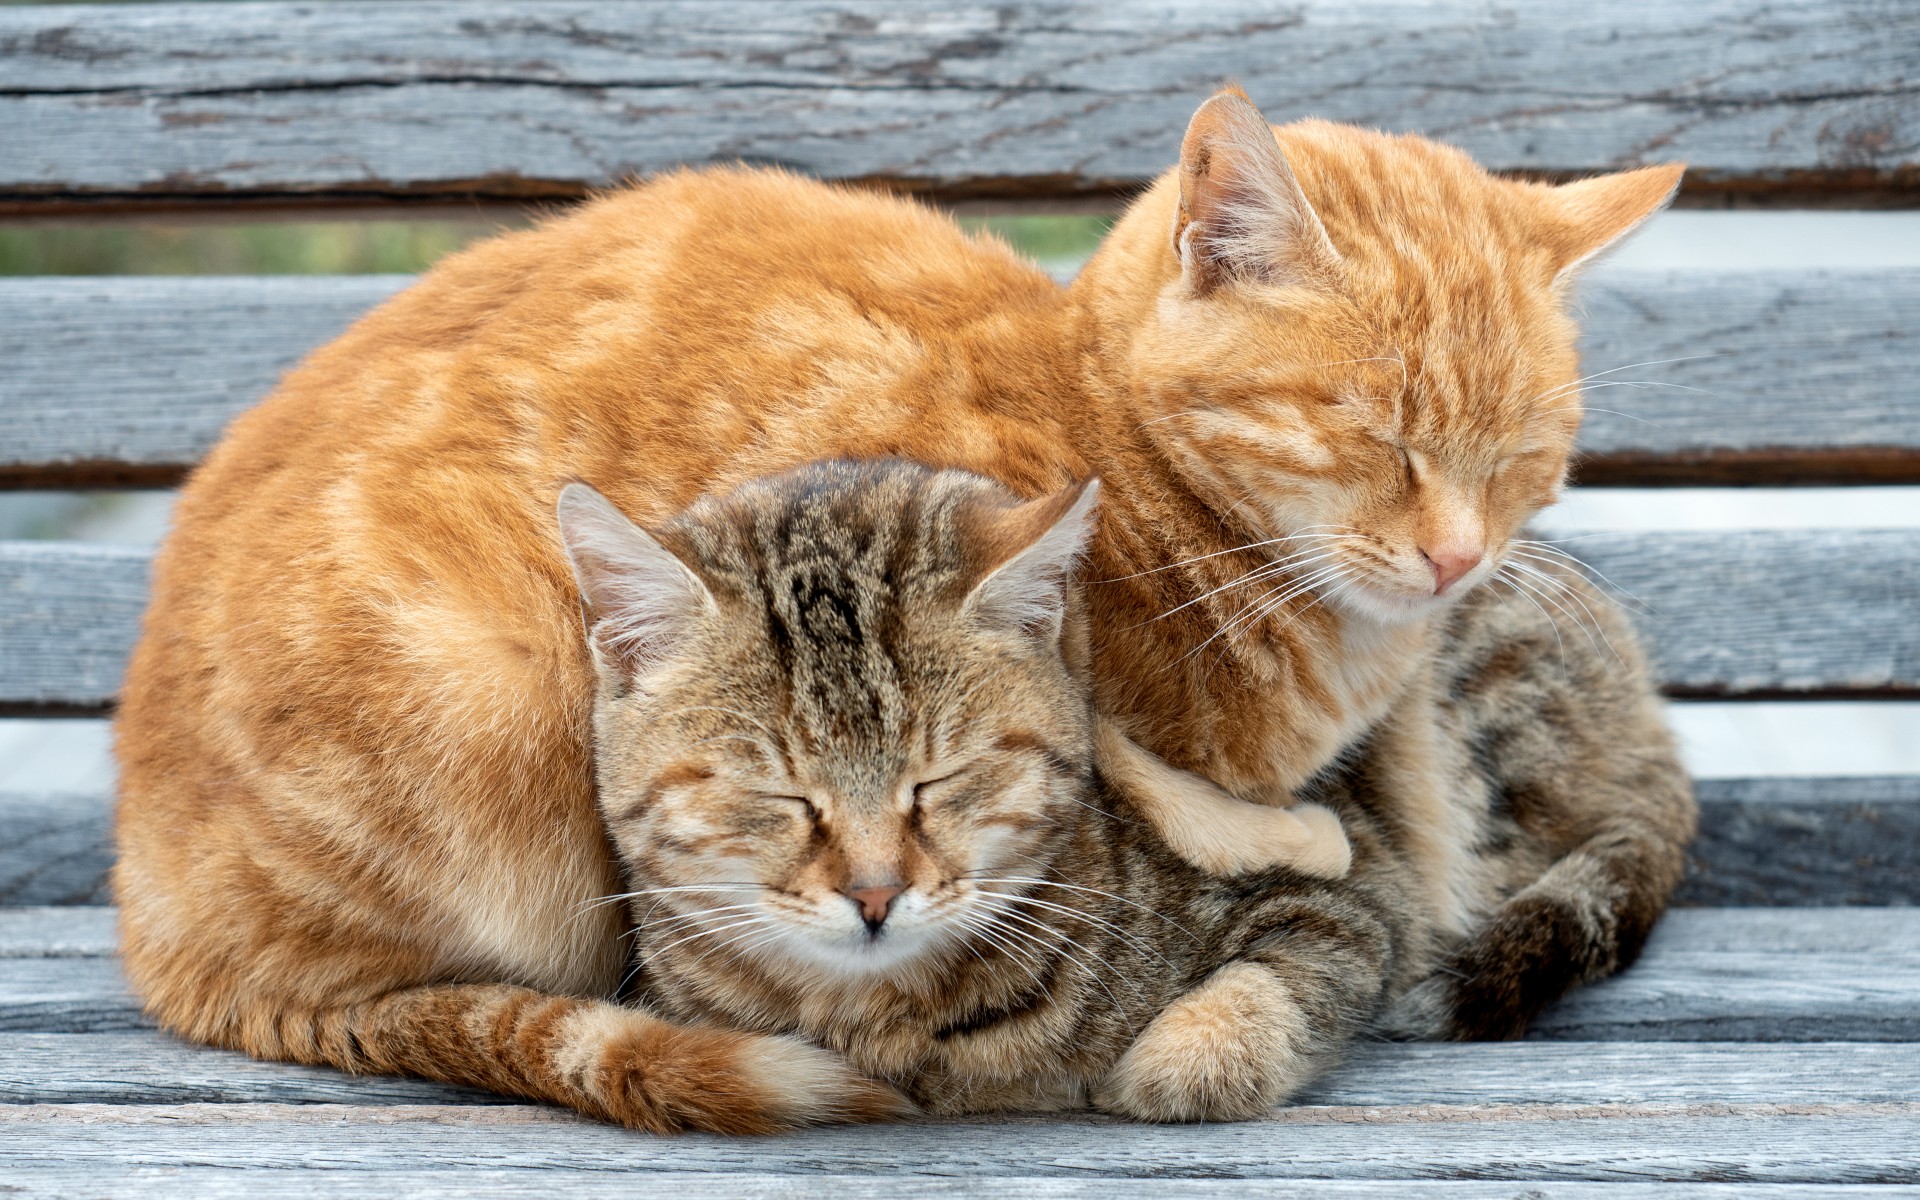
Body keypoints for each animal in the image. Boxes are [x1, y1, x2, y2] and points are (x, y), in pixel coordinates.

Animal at [556, 460, 1697, 1121]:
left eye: (944, 778)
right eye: (780, 793)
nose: (875, 894)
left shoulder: (1354, 895)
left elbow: (1264, 992)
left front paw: (1175, 1057)